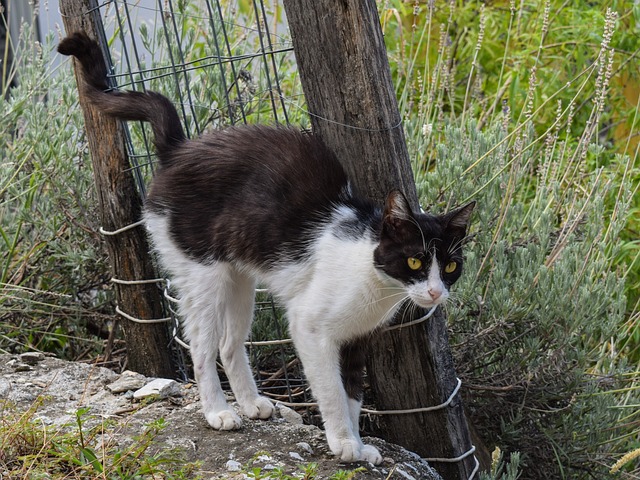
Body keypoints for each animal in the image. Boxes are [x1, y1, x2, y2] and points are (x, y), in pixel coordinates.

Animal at [60, 31, 476, 464]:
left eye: (450, 267)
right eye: (414, 260)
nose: (435, 293)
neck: (373, 277)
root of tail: (179, 150)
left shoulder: (357, 339)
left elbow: (353, 394)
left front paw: (360, 447)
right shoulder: (309, 326)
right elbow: (332, 392)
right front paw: (344, 444)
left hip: (239, 280)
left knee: (229, 345)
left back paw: (251, 404)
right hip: (202, 274)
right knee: (202, 346)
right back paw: (218, 412)